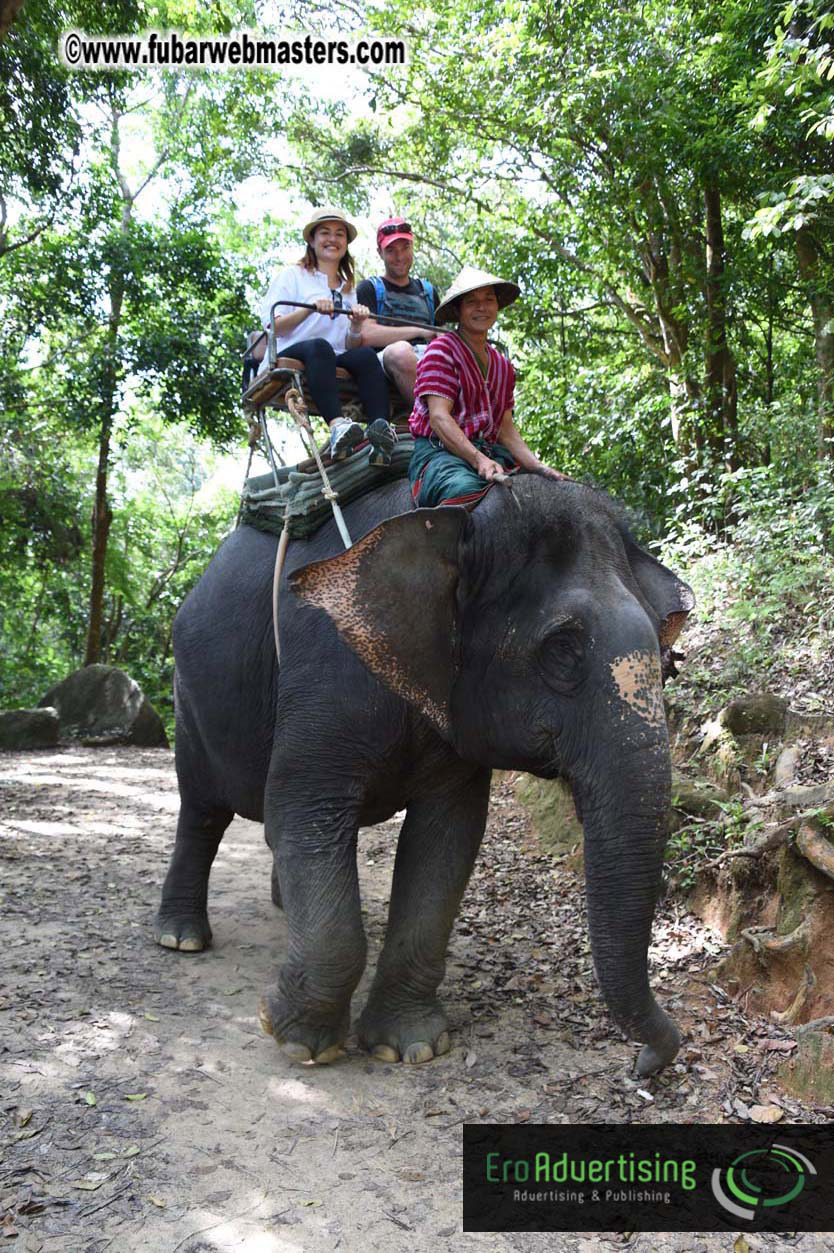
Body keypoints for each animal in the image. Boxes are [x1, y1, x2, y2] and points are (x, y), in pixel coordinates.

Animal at [154, 473, 694, 1076]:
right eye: (562, 648)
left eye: (665, 657)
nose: (645, 1063)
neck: (463, 514)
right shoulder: (325, 665)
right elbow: (304, 813)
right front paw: (299, 1042)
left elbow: (446, 839)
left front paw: (409, 1046)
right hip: (187, 694)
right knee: (203, 810)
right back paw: (181, 939)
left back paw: (277, 908)